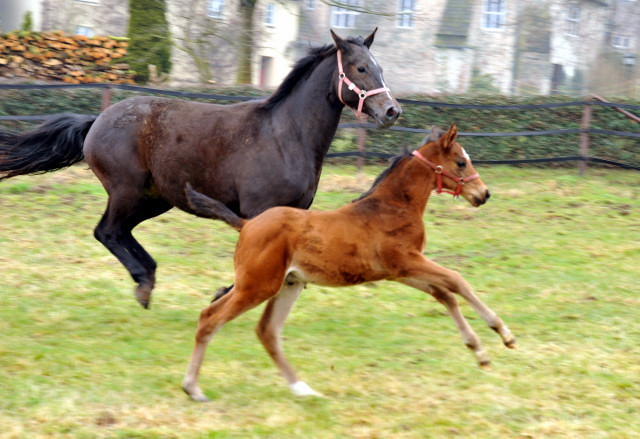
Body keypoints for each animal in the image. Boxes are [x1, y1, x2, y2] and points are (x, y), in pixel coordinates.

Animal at [0, 29, 400, 308]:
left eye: (381, 68)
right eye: (361, 68)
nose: (392, 111)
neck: (286, 134)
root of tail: (97, 120)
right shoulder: (258, 211)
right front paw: (225, 294)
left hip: (156, 198)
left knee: (119, 231)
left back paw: (147, 278)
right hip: (126, 189)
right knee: (107, 231)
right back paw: (144, 283)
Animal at [179, 123, 516, 402]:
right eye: (461, 162)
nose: (484, 193)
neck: (392, 206)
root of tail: (247, 224)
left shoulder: (399, 270)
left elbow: (444, 293)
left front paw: (479, 352)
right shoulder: (408, 261)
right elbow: (456, 280)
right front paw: (503, 332)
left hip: (289, 285)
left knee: (267, 331)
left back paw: (302, 389)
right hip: (257, 285)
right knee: (210, 317)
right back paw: (193, 388)